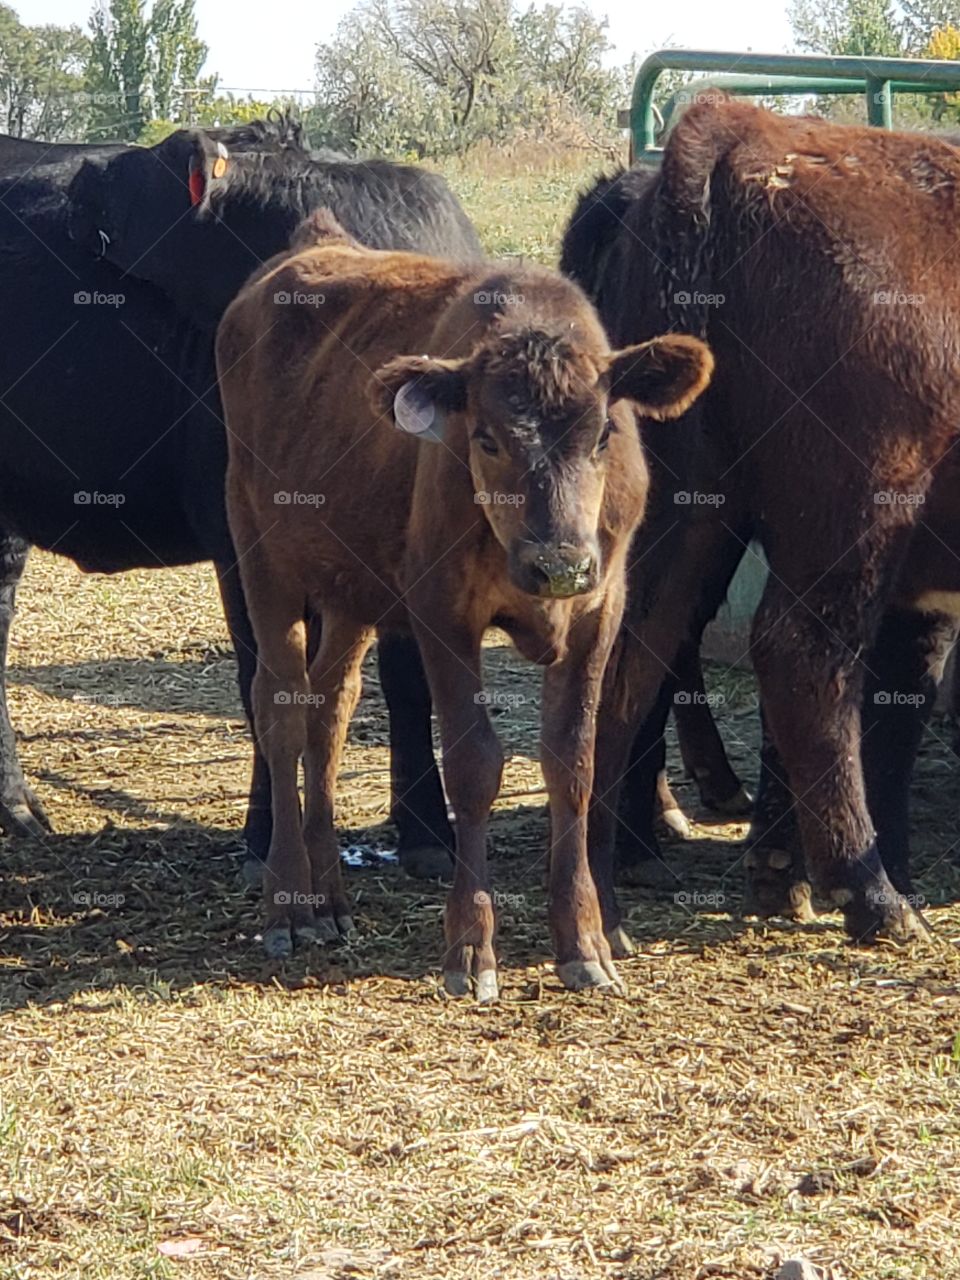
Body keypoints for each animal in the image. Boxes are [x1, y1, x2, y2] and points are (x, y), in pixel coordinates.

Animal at [0, 120, 480, 874]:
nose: (82, 180)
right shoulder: (242, 544)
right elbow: (269, 681)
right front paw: (268, 836)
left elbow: (410, 681)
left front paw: (428, 832)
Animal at [216, 209, 713, 995]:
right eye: (485, 438)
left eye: (603, 433)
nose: (558, 563)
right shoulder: (441, 611)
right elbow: (475, 764)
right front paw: (471, 948)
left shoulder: (601, 608)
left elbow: (573, 762)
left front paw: (584, 939)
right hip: (260, 553)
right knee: (282, 708)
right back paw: (290, 906)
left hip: (351, 588)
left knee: (330, 708)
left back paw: (329, 899)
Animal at [563, 97, 960, 949]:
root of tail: (743, 131)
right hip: (853, 516)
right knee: (801, 657)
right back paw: (868, 893)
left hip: (684, 518)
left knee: (627, 665)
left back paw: (603, 896)